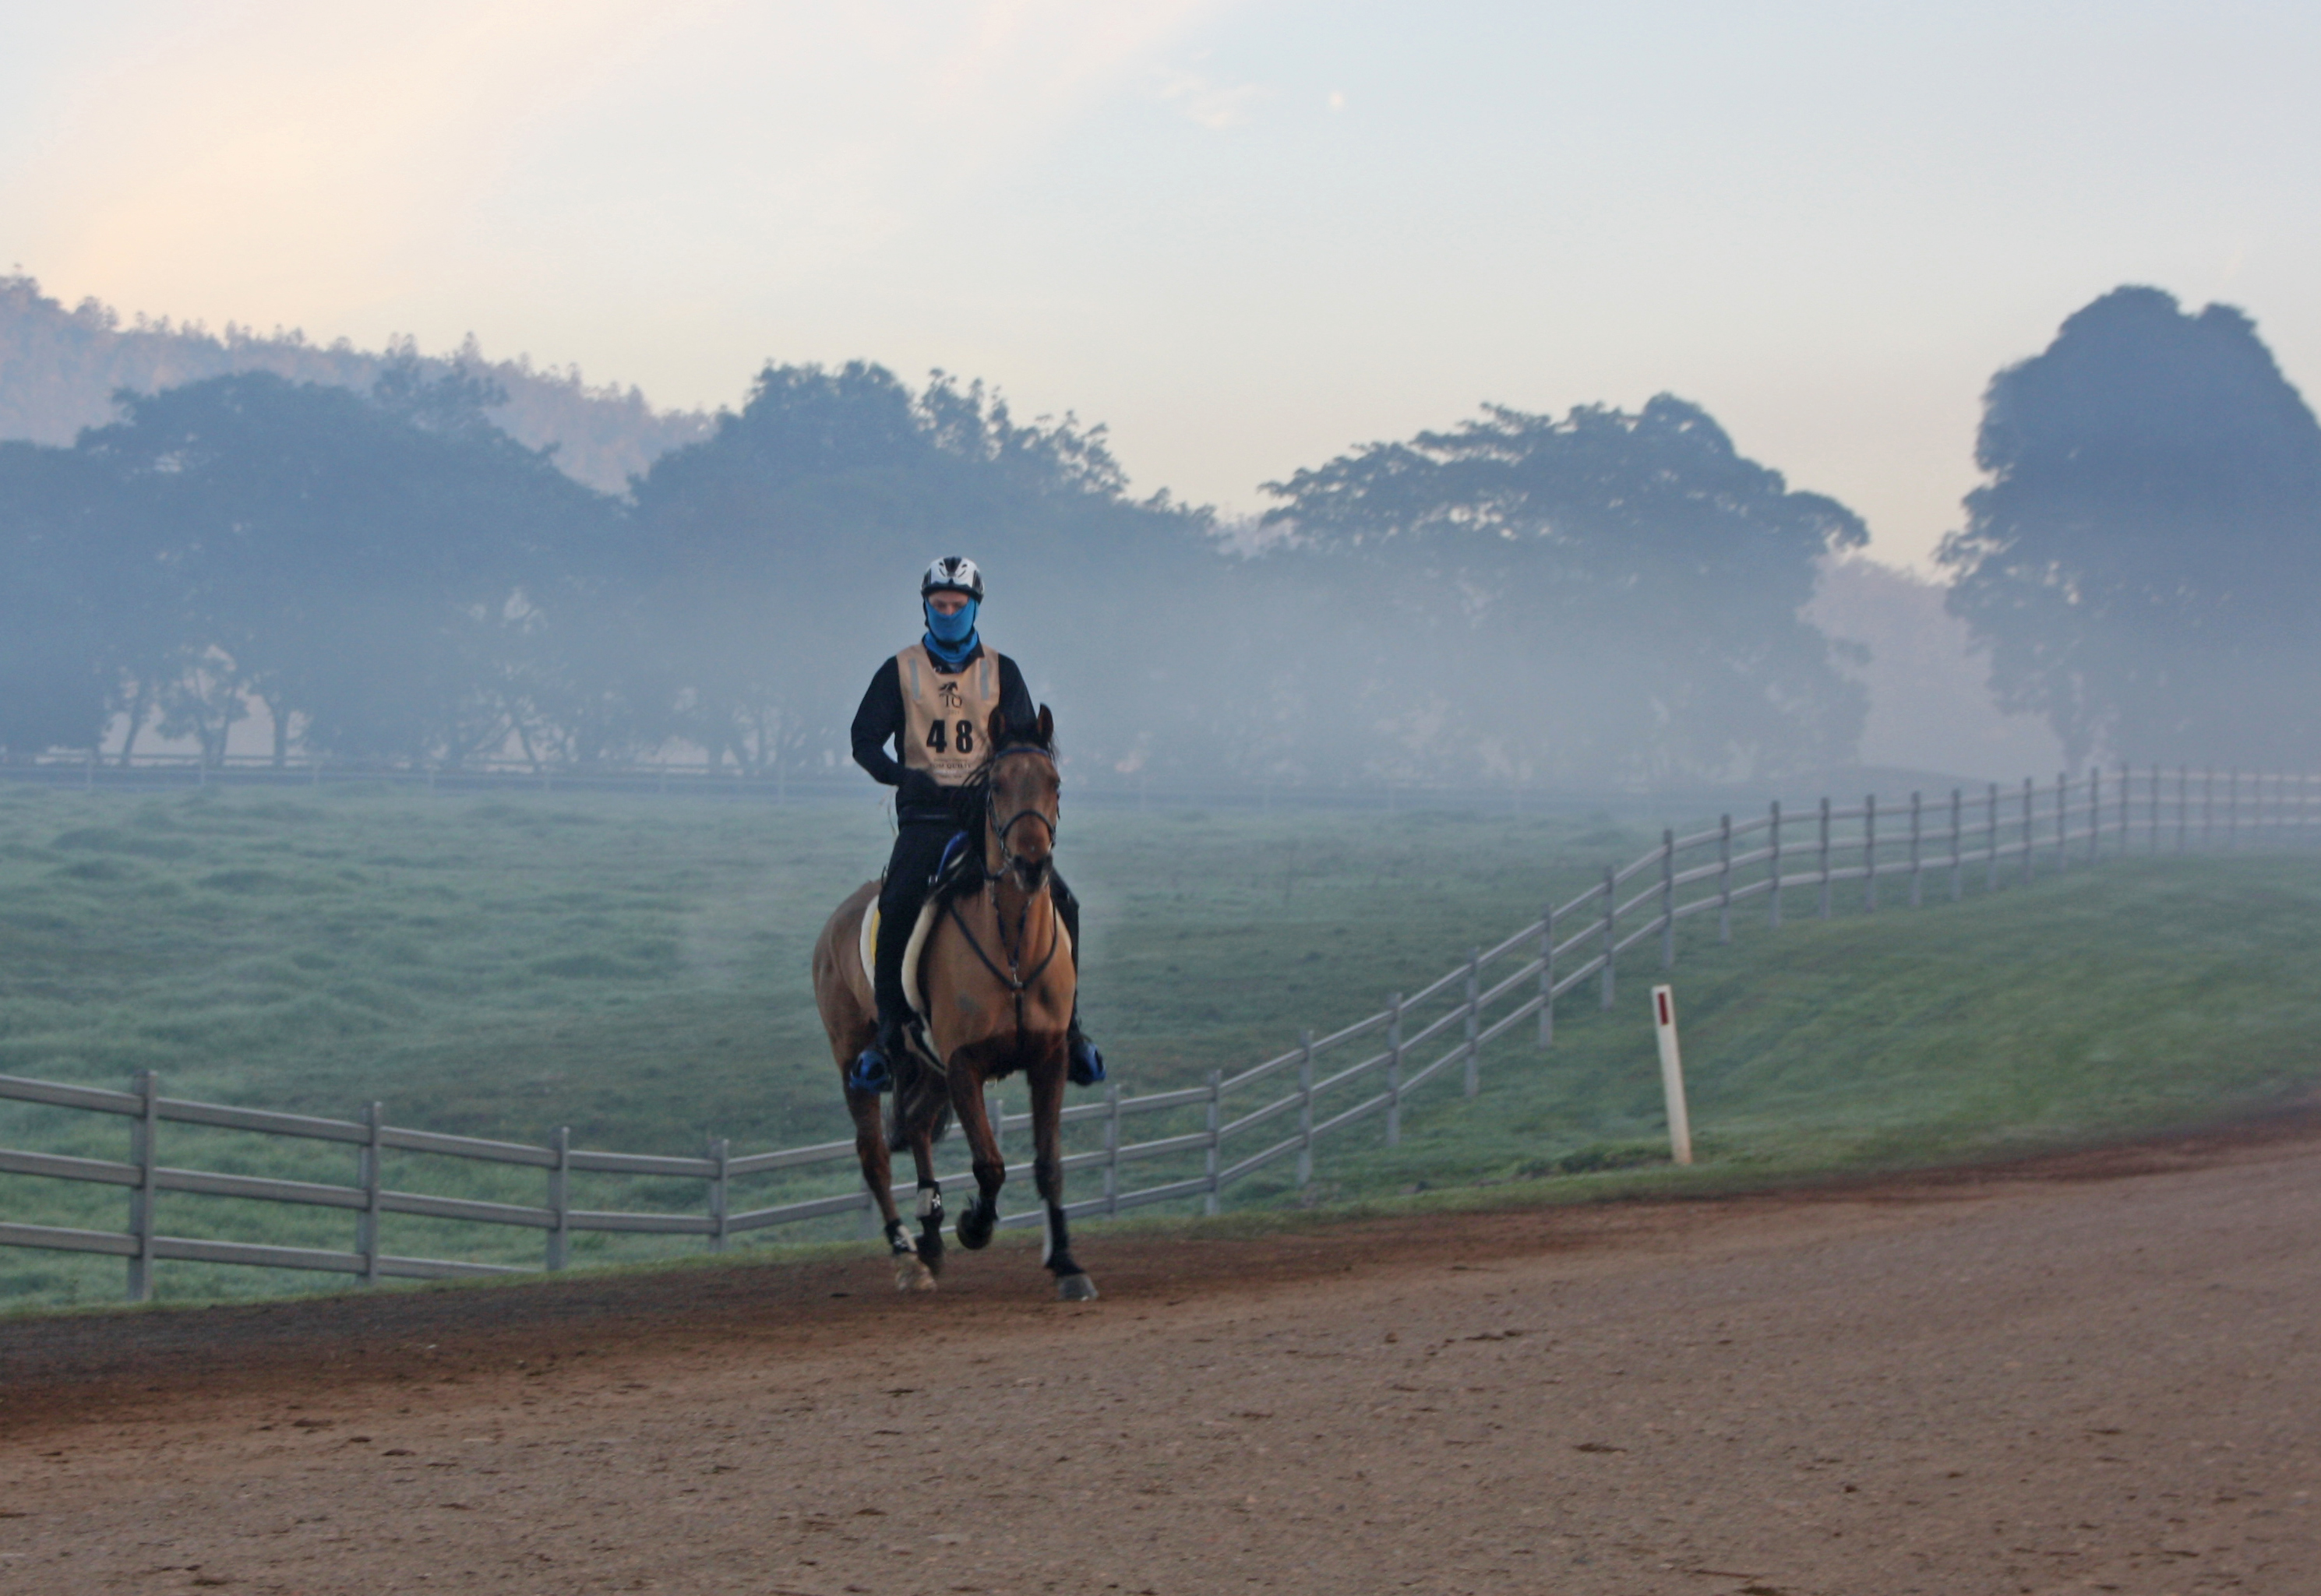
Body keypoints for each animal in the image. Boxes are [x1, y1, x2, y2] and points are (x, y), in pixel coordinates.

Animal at [809, 704, 1096, 1301]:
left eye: (1054, 783)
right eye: (997, 786)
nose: (1031, 863)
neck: (1011, 947)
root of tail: (833, 925)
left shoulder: (1050, 1057)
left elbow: (1048, 1162)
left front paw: (1065, 1262)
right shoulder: (964, 1063)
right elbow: (990, 1165)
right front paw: (974, 1225)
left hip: (926, 1065)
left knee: (917, 1127)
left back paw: (930, 1234)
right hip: (855, 1060)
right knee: (874, 1154)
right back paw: (907, 1255)